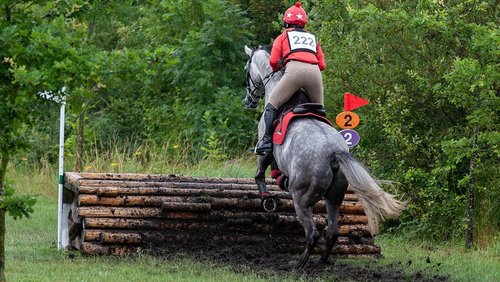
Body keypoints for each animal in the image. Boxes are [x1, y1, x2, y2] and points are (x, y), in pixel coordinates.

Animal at [243, 45, 406, 268]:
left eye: (246, 70)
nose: (247, 101)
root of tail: (333, 153)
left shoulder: (264, 150)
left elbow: (259, 173)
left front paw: (267, 200)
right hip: (334, 197)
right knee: (332, 232)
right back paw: (322, 261)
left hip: (301, 199)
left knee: (312, 233)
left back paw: (299, 264)